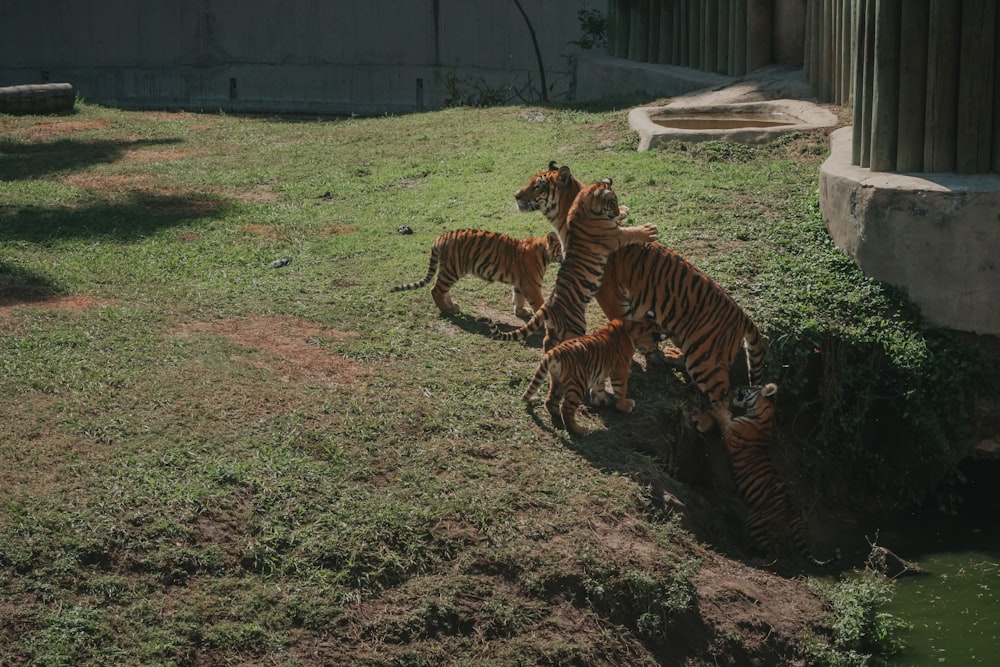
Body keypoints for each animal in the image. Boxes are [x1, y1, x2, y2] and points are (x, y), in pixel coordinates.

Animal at [388, 228, 564, 320]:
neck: (545, 254)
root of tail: (441, 236)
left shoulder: (520, 284)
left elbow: (518, 299)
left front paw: (521, 312)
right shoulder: (532, 285)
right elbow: (539, 303)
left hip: (449, 270)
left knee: (442, 290)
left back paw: (452, 306)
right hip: (453, 269)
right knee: (436, 289)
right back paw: (447, 310)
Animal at [490, 177, 660, 354]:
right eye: (613, 200)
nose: (614, 212)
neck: (582, 206)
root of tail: (548, 306)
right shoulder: (614, 234)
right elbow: (632, 232)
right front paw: (649, 230)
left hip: (556, 329)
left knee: (547, 341)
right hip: (575, 325)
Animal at [520, 320, 668, 438]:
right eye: (655, 341)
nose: (657, 351)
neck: (630, 328)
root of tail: (555, 351)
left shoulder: (601, 369)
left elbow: (599, 385)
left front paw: (601, 400)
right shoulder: (621, 370)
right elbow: (621, 391)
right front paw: (625, 406)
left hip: (557, 381)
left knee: (551, 401)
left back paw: (557, 415)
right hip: (578, 384)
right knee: (566, 409)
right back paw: (580, 431)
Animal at [592, 243, 764, 430]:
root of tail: (744, 316)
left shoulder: (607, 289)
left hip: (704, 361)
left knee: (725, 399)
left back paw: (704, 421)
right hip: (686, 339)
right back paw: (671, 354)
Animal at [724, 384, 832, 568]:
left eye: (749, 387)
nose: (736, 387)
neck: (762, 414)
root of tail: (793, 513)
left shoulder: (731, 431)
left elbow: (720, 415)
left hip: (756, 521)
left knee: (775, 550)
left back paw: (758, 559)